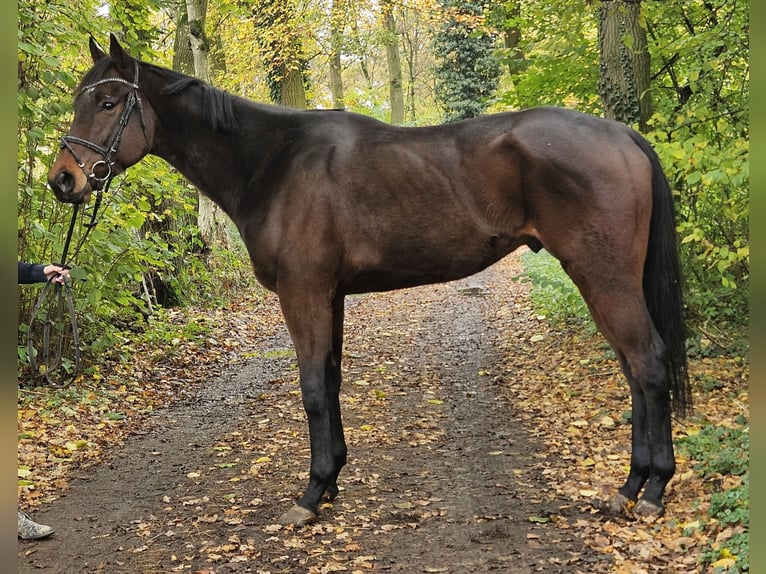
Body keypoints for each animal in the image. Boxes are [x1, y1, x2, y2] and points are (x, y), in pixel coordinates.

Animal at [51, 35, 692, 532]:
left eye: (108, 101)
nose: (63, 180)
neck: (274, 163)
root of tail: (623, 136)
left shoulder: (304, 293)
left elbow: (313, 388)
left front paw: (310, 496)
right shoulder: (329, 295)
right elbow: (331, 381)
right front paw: (331, 480)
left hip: (602, 277)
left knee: (648, 365)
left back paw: (653, 492)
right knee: (635, 371)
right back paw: (631, 487)